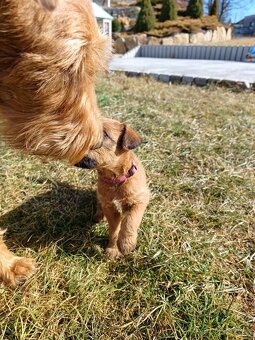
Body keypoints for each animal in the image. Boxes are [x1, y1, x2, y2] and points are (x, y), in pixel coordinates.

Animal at [76, 118, 150, 258]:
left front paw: (126, 243)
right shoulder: (110, 209)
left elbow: (130, 222)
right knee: (99, 203)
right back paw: (98, 215)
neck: (116, 180)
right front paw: (113, 249)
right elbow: (114, 230)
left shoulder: (140, 201)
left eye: (104, 134)